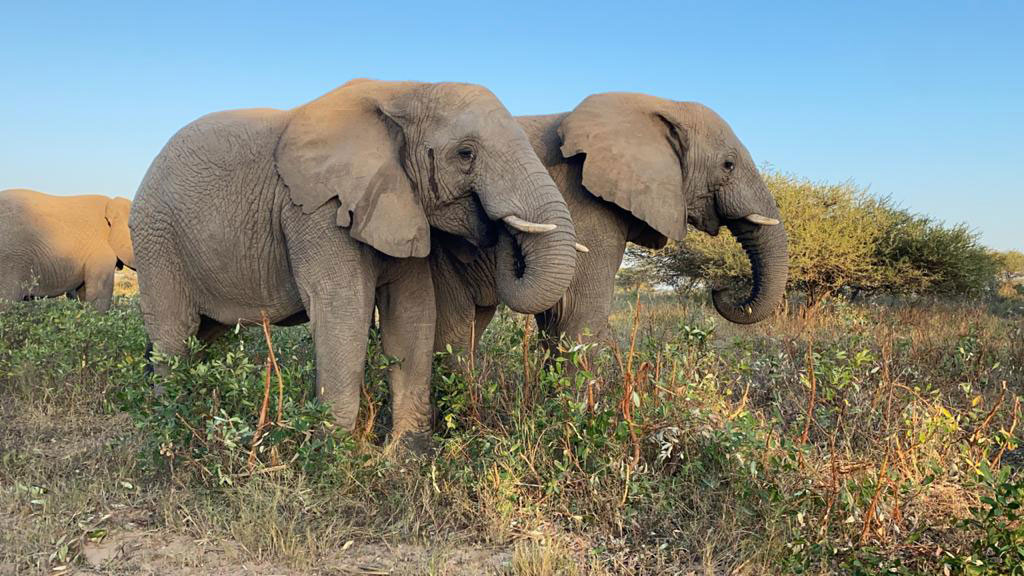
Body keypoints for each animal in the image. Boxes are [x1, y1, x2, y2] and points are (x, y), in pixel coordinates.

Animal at [129, 77, 581, 444]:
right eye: (466, 153)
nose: (498, 228)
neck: (404, 91)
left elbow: (413, 310)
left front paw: (405, 458)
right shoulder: (319, 211)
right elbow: (344, 309)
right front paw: (334, 458)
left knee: (205, 334)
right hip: (156, 239)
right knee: (174, 333)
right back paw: (170, 424)